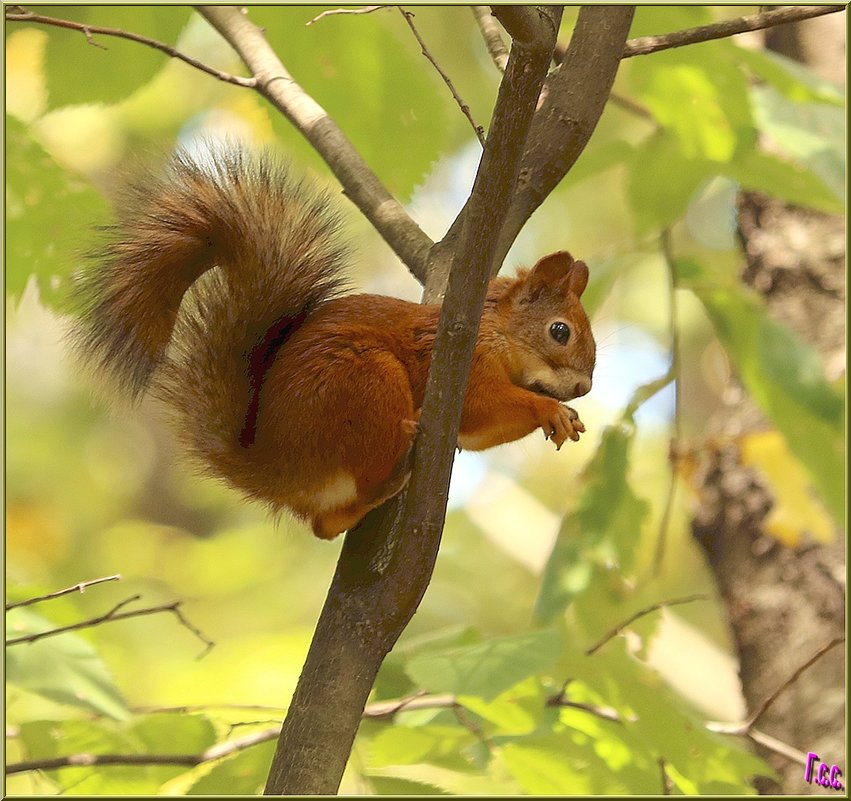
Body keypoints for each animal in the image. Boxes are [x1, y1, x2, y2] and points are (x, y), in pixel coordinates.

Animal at [71, 147, 592, 540]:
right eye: (559, 331)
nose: (585, 388)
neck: (496, 333)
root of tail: (277, 467)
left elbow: (484, 430)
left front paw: (562, 416)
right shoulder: (461, 362)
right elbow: (483, 405)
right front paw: (549, 409)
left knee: (323, 525)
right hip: (365, 383)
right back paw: (394, 469)